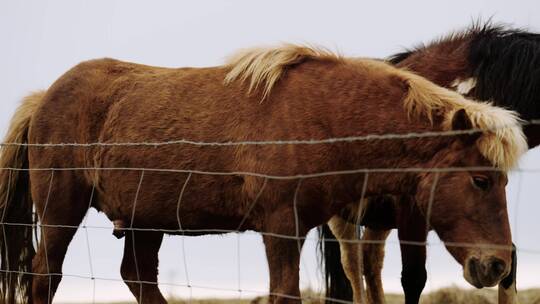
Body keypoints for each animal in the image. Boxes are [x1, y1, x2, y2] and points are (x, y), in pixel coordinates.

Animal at [0, 44, 524, 302]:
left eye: (503, 182)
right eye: (481, 180)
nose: (498, 265)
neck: (323, 118)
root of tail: (44, 97)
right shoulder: (280, 227)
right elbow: (284, 295)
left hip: (146, 221)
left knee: (138, 277)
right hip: (62, 212)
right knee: (45, 277)